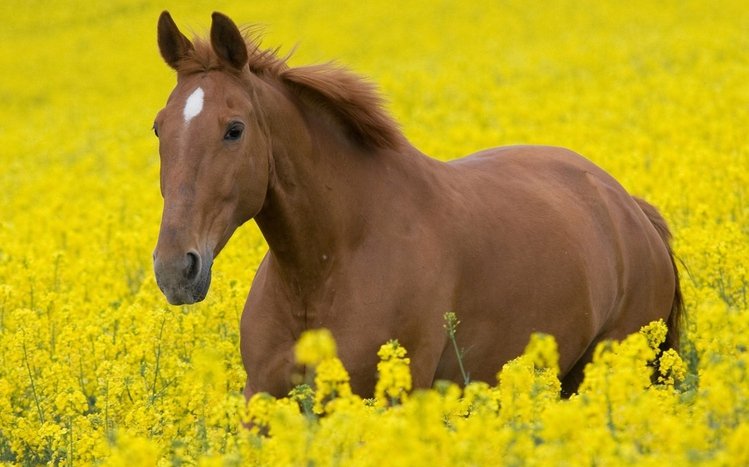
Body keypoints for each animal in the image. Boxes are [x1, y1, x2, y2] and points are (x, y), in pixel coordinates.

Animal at [152, 11, 683, 399]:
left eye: (234, 129)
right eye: (159, 127)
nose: (176, 269)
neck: (325, 268)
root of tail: (629, 207)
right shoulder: (262, 400)